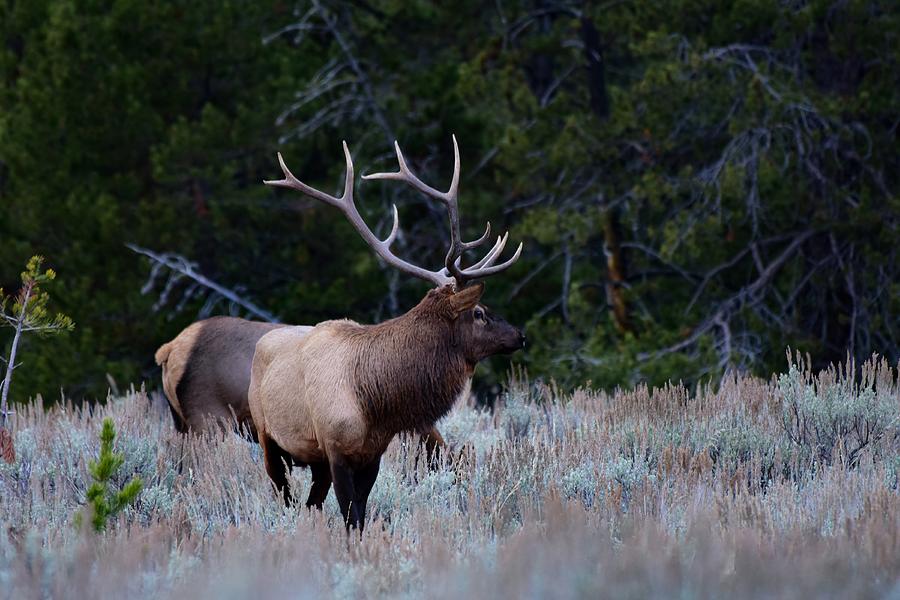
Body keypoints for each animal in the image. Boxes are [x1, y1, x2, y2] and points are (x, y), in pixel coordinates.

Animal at [250, 136, 524, 528]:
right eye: (480, 312)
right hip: (267, 438)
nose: (520, 335)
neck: (375, 402)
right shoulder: (335, 450)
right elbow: (351, 517)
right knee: (285, 496)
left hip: (312, 461)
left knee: (309, 505)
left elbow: (361, 515)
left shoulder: (371, 454)